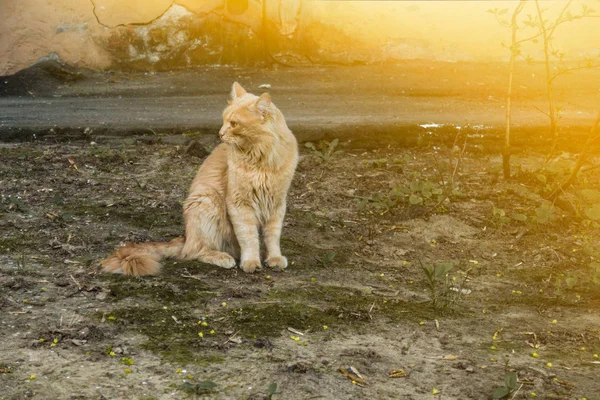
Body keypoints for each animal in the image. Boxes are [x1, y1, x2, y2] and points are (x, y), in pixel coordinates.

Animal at [103, 81, 302, 276]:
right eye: (224, 120)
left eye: (234, 124)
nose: (220, 133)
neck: (262, 159)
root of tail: (186, 237)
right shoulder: (240, 204)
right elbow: (249, 237)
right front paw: (251, 262)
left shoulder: (276, 204)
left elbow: (272, 237)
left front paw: (274, 258)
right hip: (207, 202)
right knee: (195, 252)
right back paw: (223, 257)